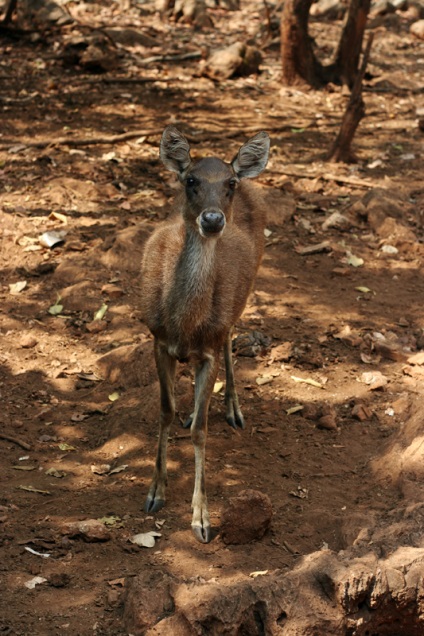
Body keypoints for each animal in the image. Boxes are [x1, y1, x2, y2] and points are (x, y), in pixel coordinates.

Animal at [141, 126, 270, 544]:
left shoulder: (209, 349)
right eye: (190, 180)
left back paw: (232, 408)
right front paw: (155, 491)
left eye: (228, 183)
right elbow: (165, 410)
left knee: (231, 337)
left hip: (247, 290)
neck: (184, 324)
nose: (212, 220)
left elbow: (201, 432)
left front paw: (201, 518)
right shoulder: (157, 339)